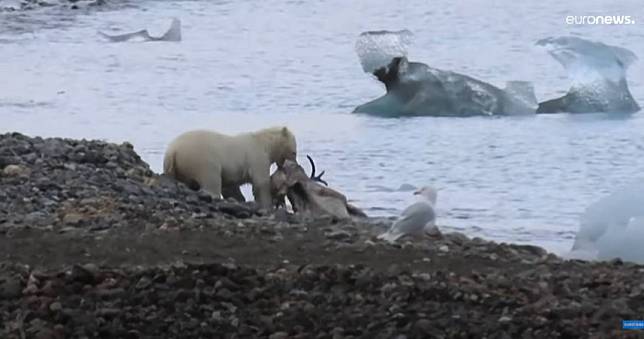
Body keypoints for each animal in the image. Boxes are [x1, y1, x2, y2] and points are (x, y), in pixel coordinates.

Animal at [165, 126, 298, 209]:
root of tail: (173, 151)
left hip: (176, 168)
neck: (265, 143)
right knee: (211, 182)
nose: (295, 164)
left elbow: (231, 188)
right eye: (294, 152)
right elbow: (261, 183)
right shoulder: (256, 157)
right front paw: (266, 203)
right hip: (203, 160)